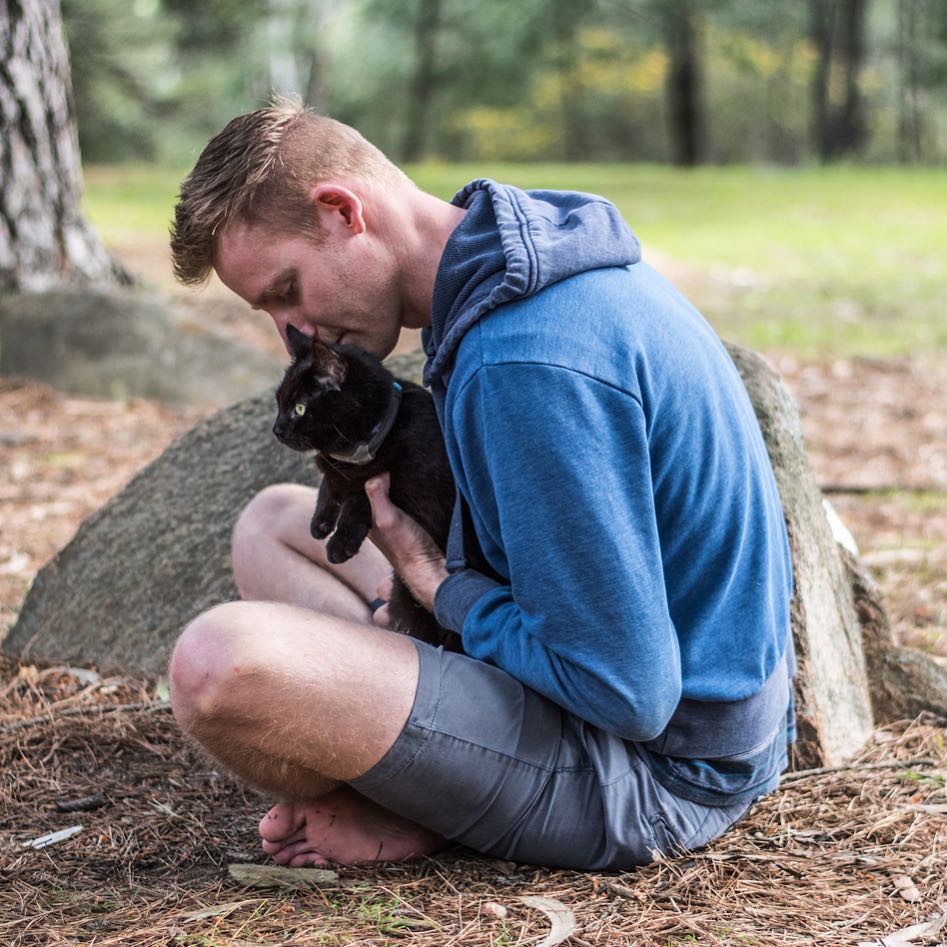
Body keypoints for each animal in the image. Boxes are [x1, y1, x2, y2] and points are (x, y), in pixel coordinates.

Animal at [272, 326, 464, 652]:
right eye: (278, 403)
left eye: (299, 408)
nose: (277, 429)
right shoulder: (334, 467)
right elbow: (329, 483)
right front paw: (320, 523)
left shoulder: (419, 489)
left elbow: (360, 494)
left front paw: (340, 543)